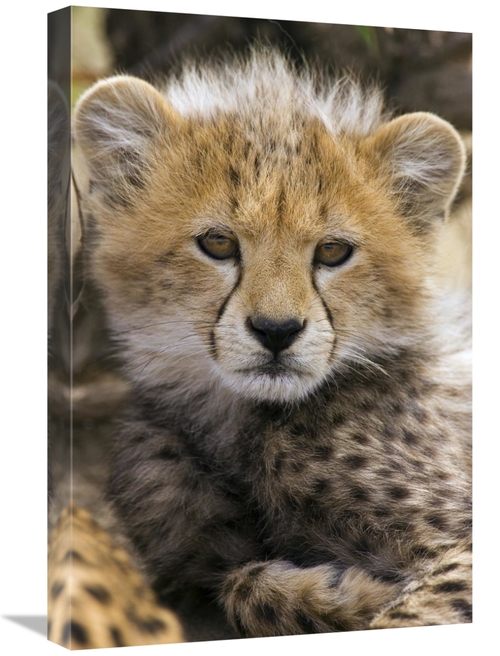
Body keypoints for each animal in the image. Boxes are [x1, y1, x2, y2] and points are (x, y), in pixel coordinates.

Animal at [71, 48, 472, 640]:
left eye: (332, 251)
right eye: (218, 243)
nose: (277, 331)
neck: (240, 427)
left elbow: (415, 610)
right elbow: (237, 580)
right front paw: (341, 592)